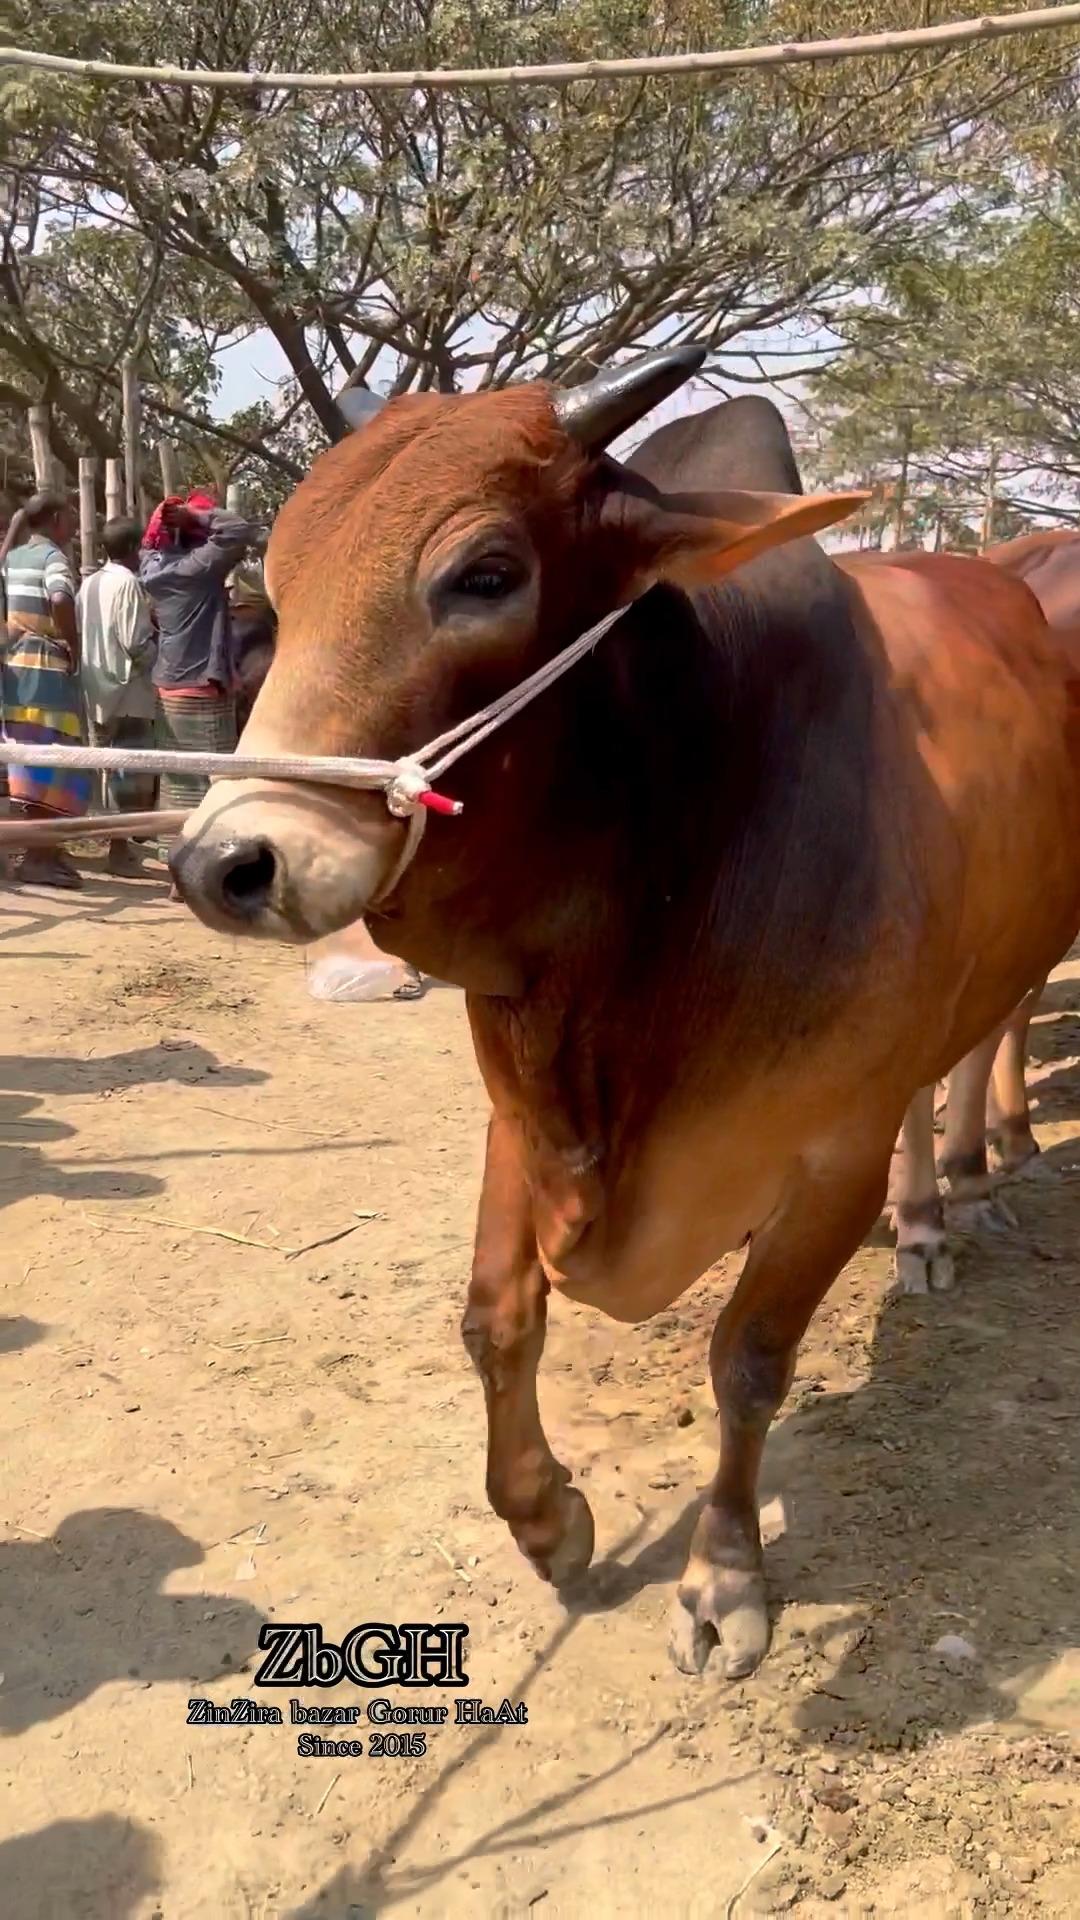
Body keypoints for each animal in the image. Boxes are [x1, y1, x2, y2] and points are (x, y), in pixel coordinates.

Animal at [169, 349, 1080, 1680]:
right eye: (278, 581)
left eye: (485, 574)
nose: (223, 864)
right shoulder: (523, 1114)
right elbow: (495, 1321)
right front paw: (549, 1522)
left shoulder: (830, 1151)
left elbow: (748, 1362)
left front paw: (723, 1578)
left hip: (1031, 945)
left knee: (986, 1041)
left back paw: (968, 1178)